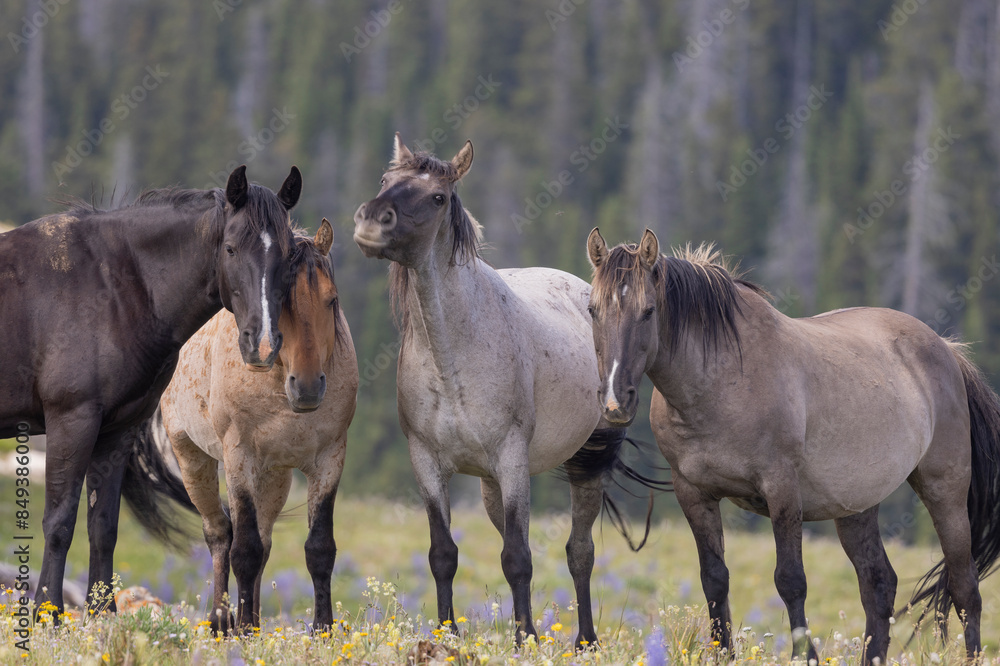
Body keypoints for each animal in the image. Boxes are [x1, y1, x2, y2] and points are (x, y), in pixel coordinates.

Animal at [0, 165, 301, 617]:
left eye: (287, 254)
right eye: (231, 249)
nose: (262, 344)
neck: (111, 285)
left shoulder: (116, 429)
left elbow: (102, 526)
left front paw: (102, 616)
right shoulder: (72, 420)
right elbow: (59, 522)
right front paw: (47, 615)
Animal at [141, 219, 357, 632]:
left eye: (332, 300)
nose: (308, 386)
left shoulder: (329, 459)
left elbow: (319, 549)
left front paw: (323, 630)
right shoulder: (239, 457)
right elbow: (244, 549)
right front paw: (240, 629)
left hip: (275, 475)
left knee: (265, 538)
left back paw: (252, 620)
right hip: (193, 459)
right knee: (219, 533)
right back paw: (221, 621)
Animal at [352, 134, 663, 647]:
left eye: (437, 197)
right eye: (385, 180)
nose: (371, 222)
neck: (453, 356)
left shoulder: (513, 459)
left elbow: (519, 558)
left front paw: (526, 640)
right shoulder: (427, 462)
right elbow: (444, 554)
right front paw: (449, 635)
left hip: (584, 464)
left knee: (579, 551)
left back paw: (585, 639)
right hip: (490, 484)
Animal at [585, 227, 1000, 664]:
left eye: (648, 311)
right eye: (593, 310)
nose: (615, 401)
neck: (720, 382)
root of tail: (946, 351)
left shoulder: (781, 488)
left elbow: (790, 580)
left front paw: (806, 654)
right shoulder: (693, 493)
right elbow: (714, 580)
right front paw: (723, 652)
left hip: (944, 491)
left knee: (965, 586)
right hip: (857, 506)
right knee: (879, 584)